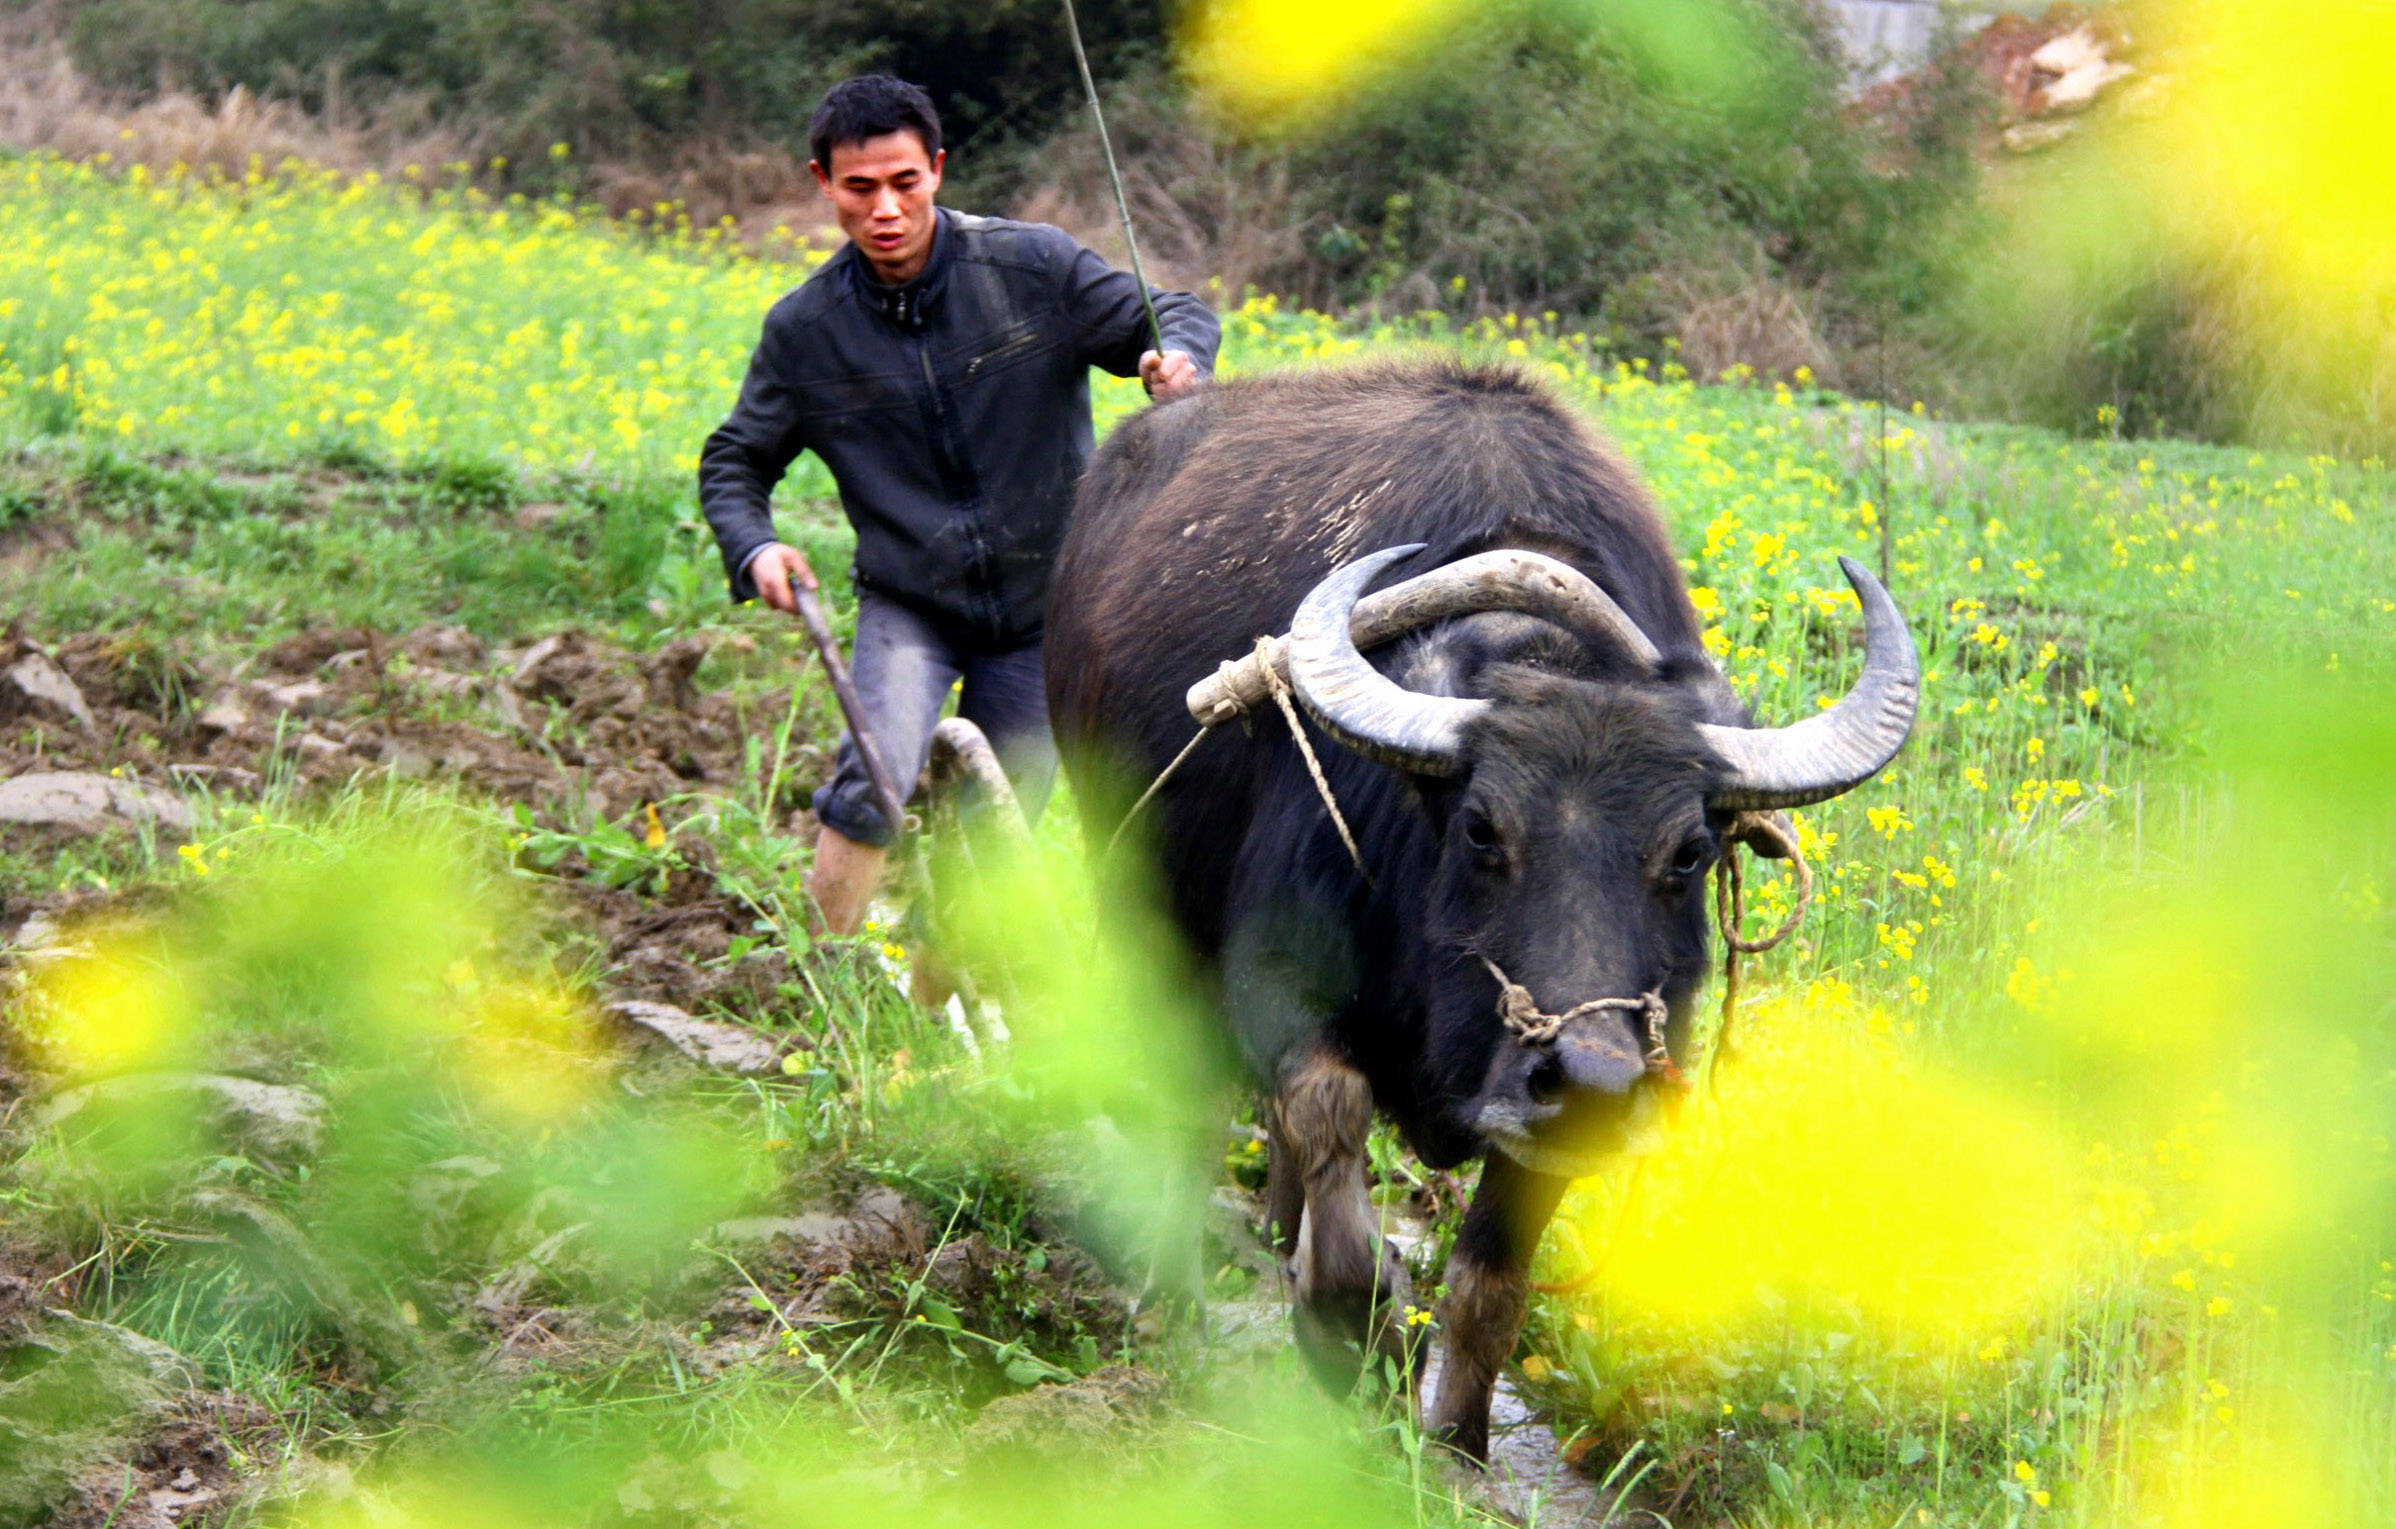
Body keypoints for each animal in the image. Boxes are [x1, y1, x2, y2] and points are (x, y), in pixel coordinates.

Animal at [1039, 357, 1916, 1457]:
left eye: (1687, 852)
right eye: (1482, 829)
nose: (1586, 1073)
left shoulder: (1561, 1100)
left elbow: (1493, 1272)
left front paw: (1455, 1433)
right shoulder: (1272, 977)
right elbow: (1325, 1102)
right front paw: (1350, 1328)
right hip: (1130, 888)